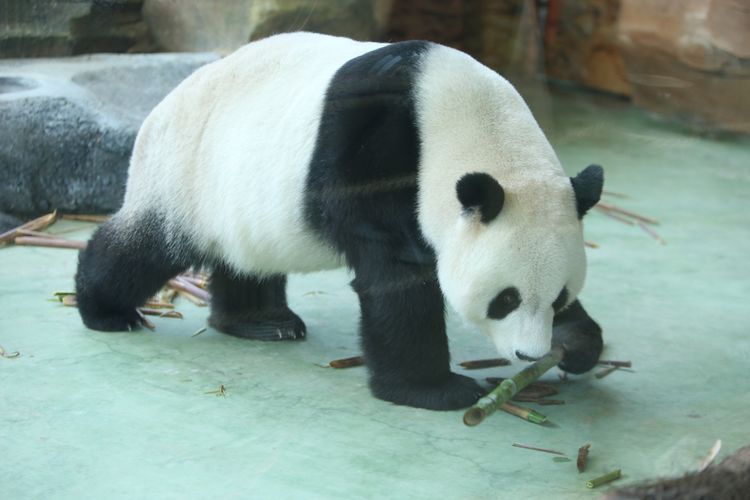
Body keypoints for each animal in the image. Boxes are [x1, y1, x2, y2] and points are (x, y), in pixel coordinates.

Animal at [76, 33, 604, 412]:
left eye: (559, 297)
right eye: (505, 299)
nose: (529, 356)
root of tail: (159, 108)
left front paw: (577, 342)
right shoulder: (372, 149)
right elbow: (396, 275)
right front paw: (435, 389)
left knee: (244, 258)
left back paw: (260, 321)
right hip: (185, 174)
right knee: (142, 250)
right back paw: (105, 310)